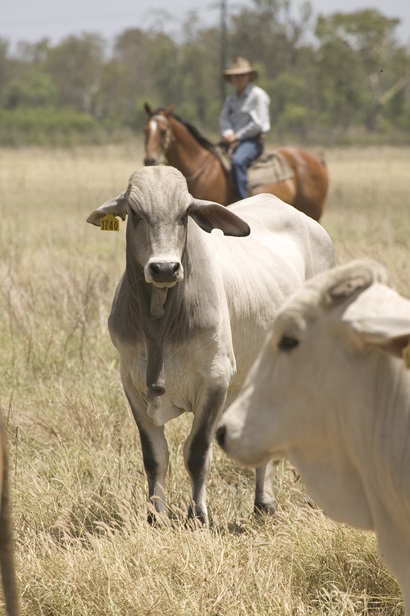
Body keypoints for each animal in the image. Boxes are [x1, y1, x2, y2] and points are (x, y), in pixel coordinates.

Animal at [88, 166, 334, 528]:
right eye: (135, 212)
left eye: (184, 214)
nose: (164, 268)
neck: (160, 319)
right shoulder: (131, 382)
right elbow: (154, 455)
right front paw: (155, 517)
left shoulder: (216, 379)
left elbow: (196, 451)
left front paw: (198, 516)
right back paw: (264, 503)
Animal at [143, 103, 328, 221]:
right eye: (145, 131)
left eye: (163, 131)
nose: (149, 159)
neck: (202, 169)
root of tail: (317, 159)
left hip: (313, 212)